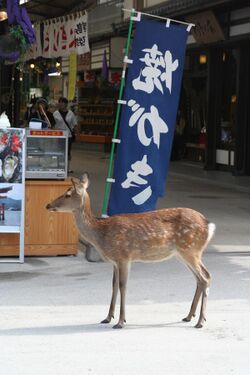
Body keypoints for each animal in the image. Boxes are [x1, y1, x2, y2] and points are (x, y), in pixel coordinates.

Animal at [46, 173, 215, 328]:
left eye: (67, 194)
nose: (48, 205)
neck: (101, 234)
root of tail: (209, 225)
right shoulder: (115, 261)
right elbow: (113, 285)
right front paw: (108, 317)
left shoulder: (124, 256)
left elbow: (123, 285)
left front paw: (121, 321)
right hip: (184, 253)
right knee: (201, 277)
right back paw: (189, 316)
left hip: (190, 250)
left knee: (205, 277)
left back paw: (200, 321)